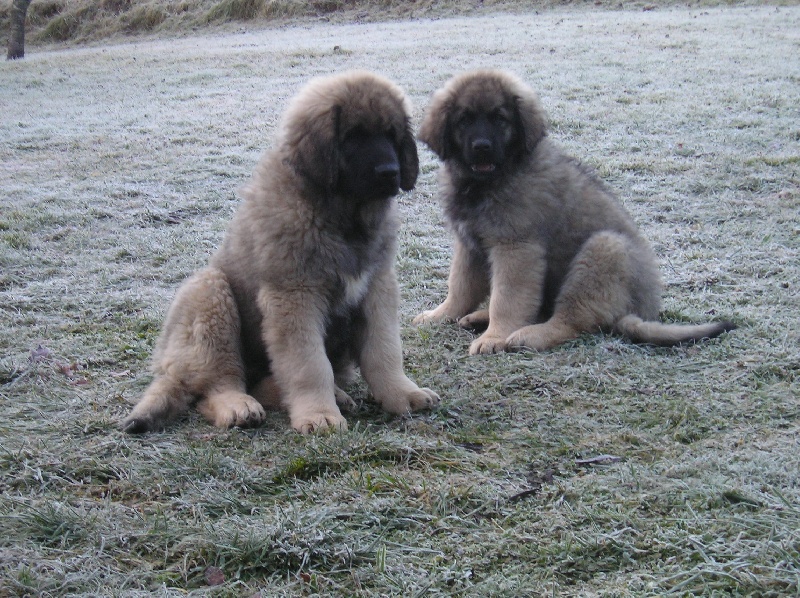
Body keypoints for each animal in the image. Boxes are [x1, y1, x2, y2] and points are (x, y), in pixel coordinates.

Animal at [122, 71, 440, 436]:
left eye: (391, 135)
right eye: (354, 137)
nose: (390, 171)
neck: (342, 217)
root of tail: (166, 363)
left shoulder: (377, 287)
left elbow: (384, 350)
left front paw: (403, 393)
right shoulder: (295, 296)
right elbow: (309, 365)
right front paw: (319, 415)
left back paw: (334, 394)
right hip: (210, 296)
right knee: (218, 384)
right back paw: (240, 406)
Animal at [416, 68, 736, 354]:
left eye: (499, 119)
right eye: (464, 120)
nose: (482, 147)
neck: (489, 181)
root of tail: (640, 313)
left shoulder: (516, 247)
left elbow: (507, 298)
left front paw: (494, 337)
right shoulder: (469, 245)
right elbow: (460, 286)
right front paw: (441, 315)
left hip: (605, 250)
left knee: (570, 321)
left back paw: (526, 335)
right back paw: (480, 319)